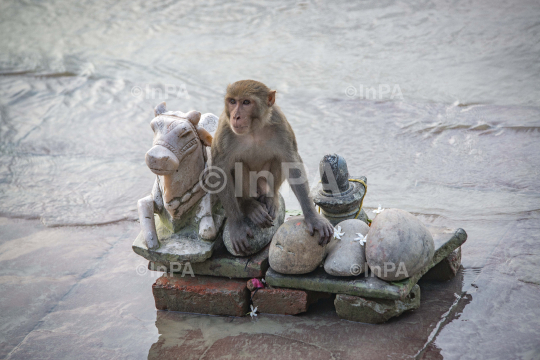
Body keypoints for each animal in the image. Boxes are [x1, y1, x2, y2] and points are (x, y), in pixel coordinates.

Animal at [211, 80, 334, 255]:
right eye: (233, 101)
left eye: (246, 102)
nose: (236, 116)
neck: (254, 129)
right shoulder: (225, 131)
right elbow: (220, 169)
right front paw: (237, 224)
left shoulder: (280, 125)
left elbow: (291, 163)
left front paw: (313, 218)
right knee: (238, 163)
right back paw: (248, 205)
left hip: (263, 182)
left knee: (278, 159)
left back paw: (271, 198)